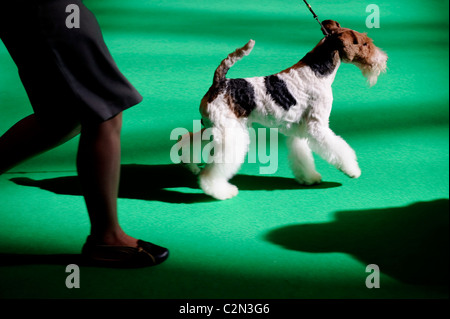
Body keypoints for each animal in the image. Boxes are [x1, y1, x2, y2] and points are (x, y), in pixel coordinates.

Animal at [178, 20, 388, 200]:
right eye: (365, 43)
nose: (384, 60)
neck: (317, 70)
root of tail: (219, 83)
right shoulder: (317, 126)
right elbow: (338, 148)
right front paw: (352, 170)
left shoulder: (299, 129)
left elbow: (303, 155)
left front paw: (309, 177)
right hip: (229, 133)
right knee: (213, 168)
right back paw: (220, 190)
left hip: (214, 127)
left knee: (189, 139)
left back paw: (191, 164)